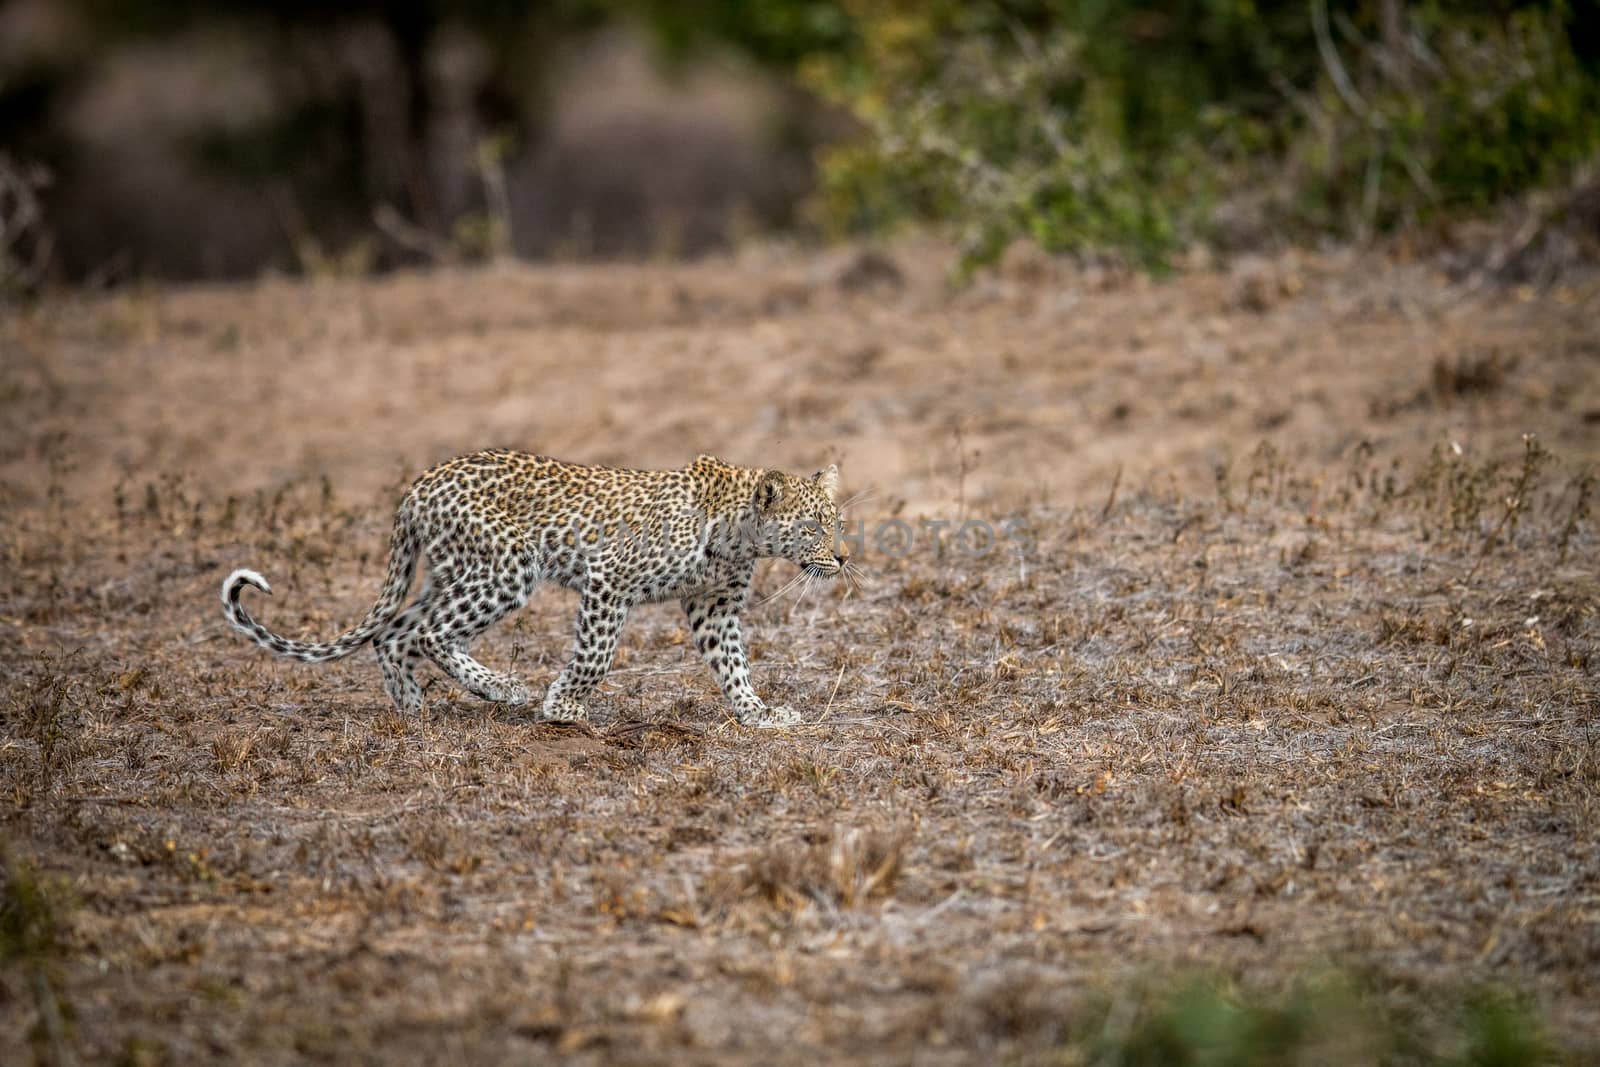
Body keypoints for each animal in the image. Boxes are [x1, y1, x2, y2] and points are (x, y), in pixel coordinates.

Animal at [225, 451, 851, 726]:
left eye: (837, 523)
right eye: (813, 526)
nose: (844, 557)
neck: (743, 535)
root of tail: (416, 487)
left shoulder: (714, 606)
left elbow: (734, 665)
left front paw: (758, 713)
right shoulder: (609, 579)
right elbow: (595, 656)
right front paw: (563, 706)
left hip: (455, 571)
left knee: (395, 632)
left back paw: (413, 708)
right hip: (505, 569)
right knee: (430, 633)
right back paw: (501, 689)